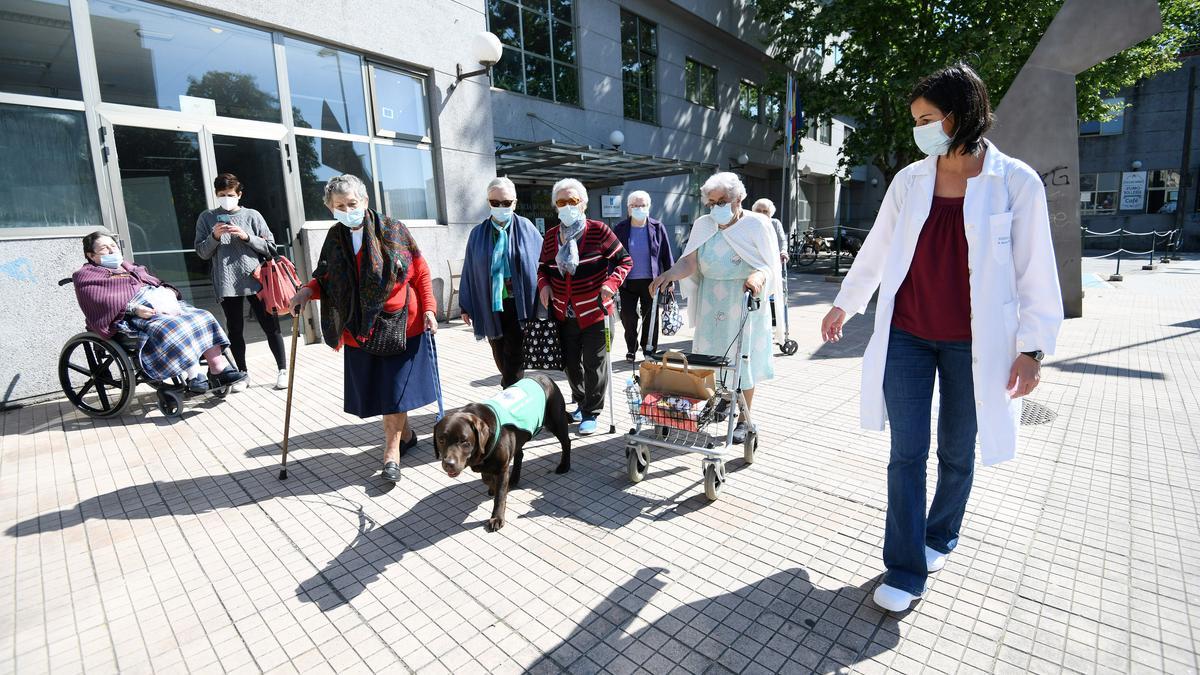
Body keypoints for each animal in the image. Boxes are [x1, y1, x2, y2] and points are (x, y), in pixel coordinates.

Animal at [432, 369, 571, 528]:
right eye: (441, 440)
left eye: (464, 441)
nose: (449, 464)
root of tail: (544, 376)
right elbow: (488, 479)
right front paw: (493, 487)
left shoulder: (502, 468)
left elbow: (500, 494)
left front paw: (497, 517)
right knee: (519, 455)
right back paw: (514, 479)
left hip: (556, 421)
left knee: (566, 442)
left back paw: (564, 465)